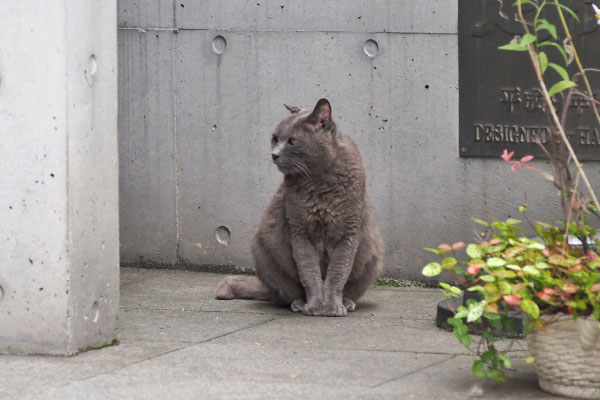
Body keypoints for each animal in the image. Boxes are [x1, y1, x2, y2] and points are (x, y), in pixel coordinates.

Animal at [216, 99, 384, 316]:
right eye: (274, 138)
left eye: (292, 141)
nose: (274, 154)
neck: (319, 180)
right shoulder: (300, 232)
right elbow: (309, 273)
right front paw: (315, 306)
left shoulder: (348, 233)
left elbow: (338, 273)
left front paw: (332, 306)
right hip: (263, 252)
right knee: (285, 294)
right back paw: (298, 303)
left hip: (373, 256)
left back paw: (346, 303)